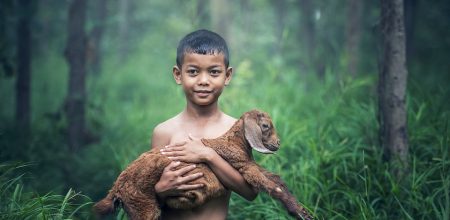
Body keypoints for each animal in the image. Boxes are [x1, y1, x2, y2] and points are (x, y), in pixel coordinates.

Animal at [93, 110, 314, 220]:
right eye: (266, 126)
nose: (278, 143)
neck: (235, 143)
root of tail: (116, 189)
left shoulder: (248, 163)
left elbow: (276, 179)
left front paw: (302, 210)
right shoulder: (243, 166)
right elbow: (273, 187)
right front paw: (300, 213)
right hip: (142, 205)